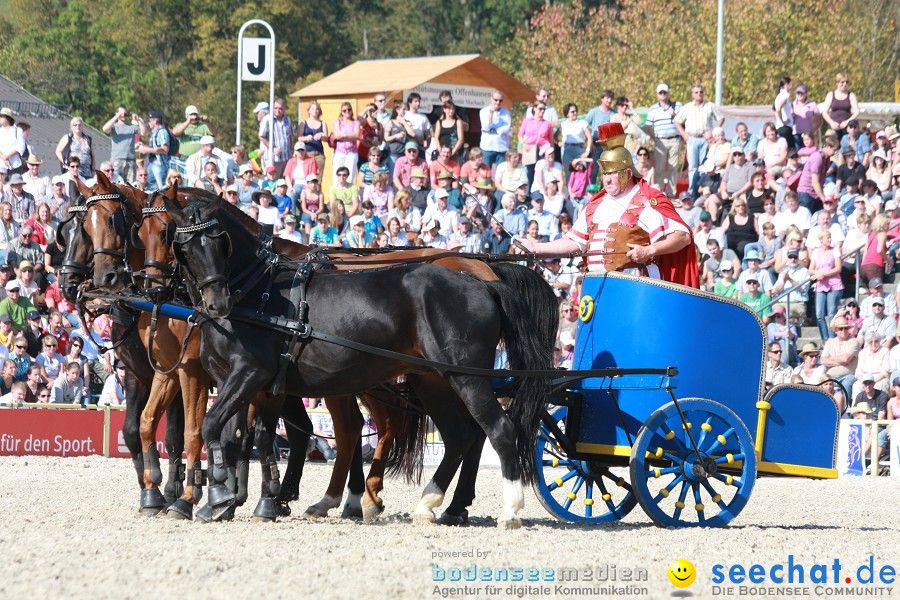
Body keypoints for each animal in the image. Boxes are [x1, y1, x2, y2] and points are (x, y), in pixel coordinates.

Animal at [164, 195, 552, 528]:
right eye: (184, 247)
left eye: (220, 241)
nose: (217, 302)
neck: (256, 293)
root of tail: (481, 281)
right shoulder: (236, 380)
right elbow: (232, 436)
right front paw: (226, 499)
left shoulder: (251, 374)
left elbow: (215, 427)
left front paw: (222, 495)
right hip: (433, 380)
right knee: (461, 435)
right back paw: (431, 505)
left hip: (467, 378)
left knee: (498, 429)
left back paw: (508, 510)